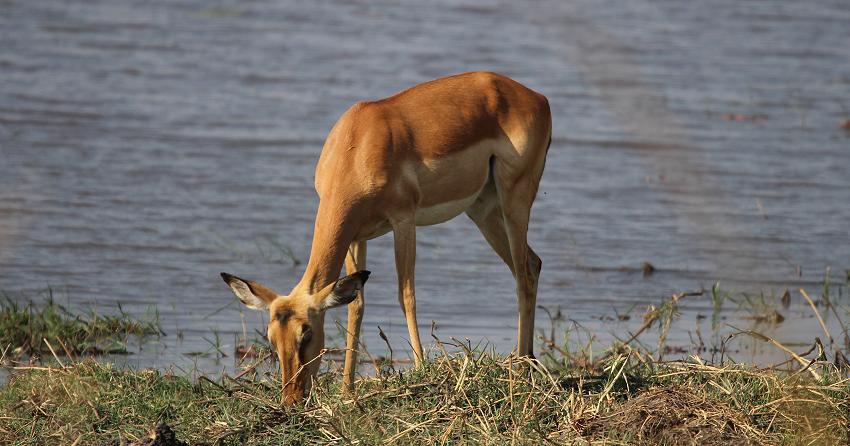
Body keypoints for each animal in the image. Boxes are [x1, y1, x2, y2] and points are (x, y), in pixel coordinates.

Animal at [220, 71, 548, 406]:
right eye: (272, 339)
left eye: (306, 333)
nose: (292, 400)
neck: (357, 145)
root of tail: (534, 96)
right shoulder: (355, 236)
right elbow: (356, 305)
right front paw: (347, 389)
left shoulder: (403, 220)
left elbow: (407, 296)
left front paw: (421, 373)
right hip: (482, 209)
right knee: (533, 264)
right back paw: (529, 361)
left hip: (514, 200)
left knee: (522, 273)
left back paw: (522, 369)